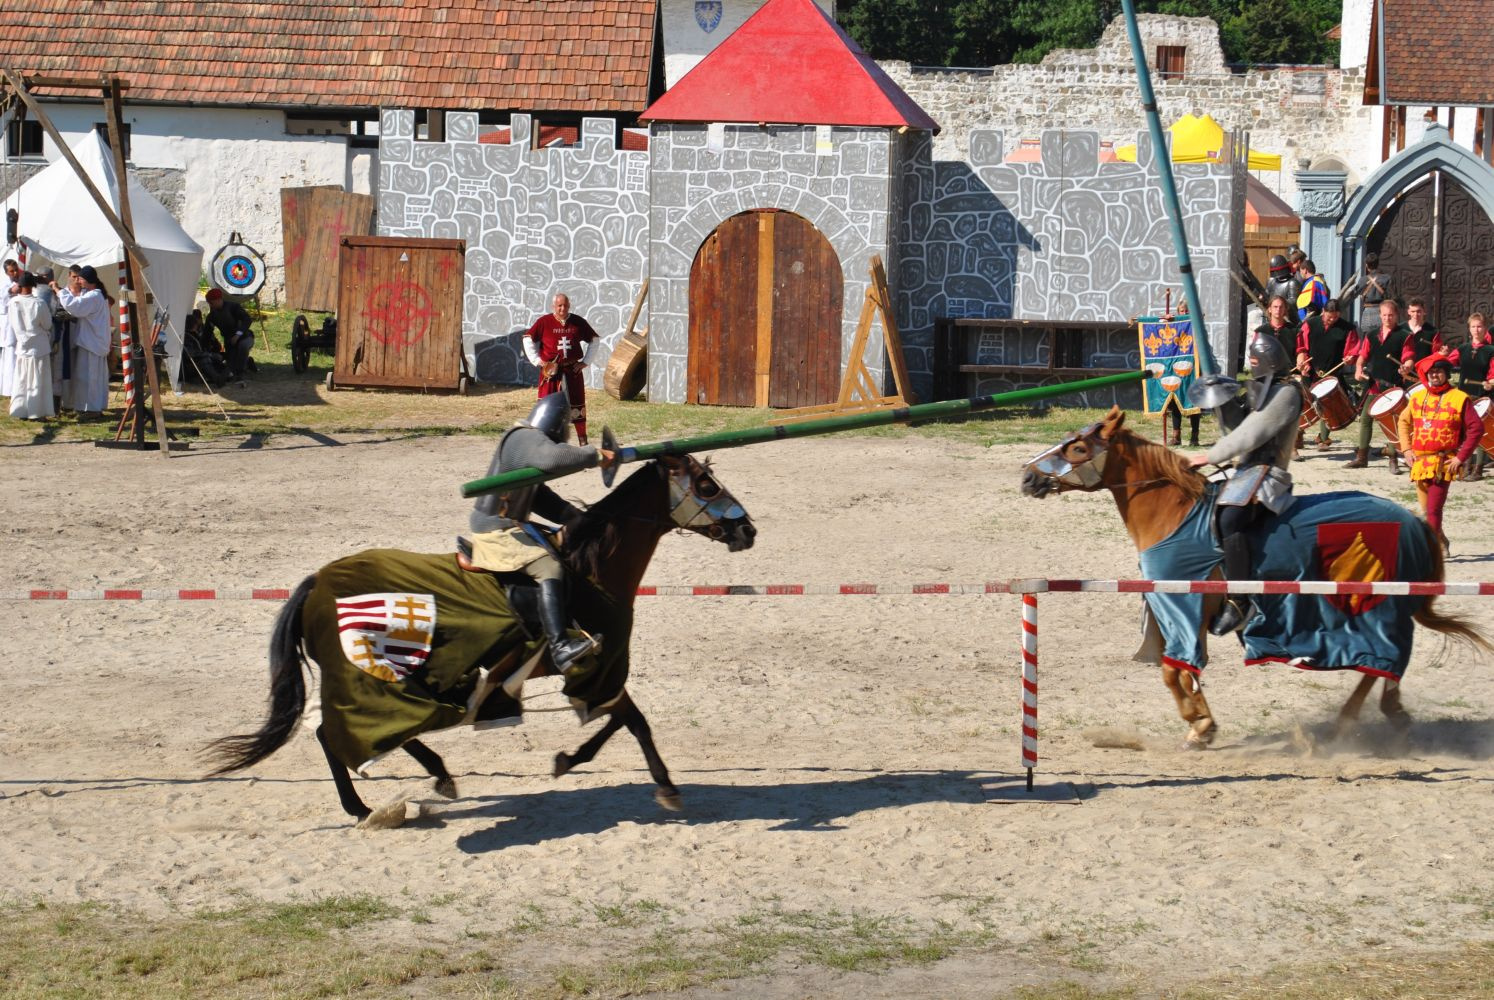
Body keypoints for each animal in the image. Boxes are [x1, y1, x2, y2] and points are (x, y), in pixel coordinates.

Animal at [207, 454, 758, 825]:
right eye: (706, 483)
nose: (747, 530)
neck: (590, 570)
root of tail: (316, 584)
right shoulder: (595, 667)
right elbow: (631, 720)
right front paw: (661, 786)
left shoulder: (594, 673)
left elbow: (624, 721)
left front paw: (574, 762)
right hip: (372, 676)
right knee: (343, 732)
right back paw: (366, 803)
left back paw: (422, 781)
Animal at [1015, 406, 1482, 747]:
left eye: (1077, 449)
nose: (1028, 477)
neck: (1174, 514)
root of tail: (1413, 521)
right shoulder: (1180, 610)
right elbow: (1180, 670)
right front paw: (1201, 722)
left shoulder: (1185, 607)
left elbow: (1172, 669)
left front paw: (1199, 724)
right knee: (1385, 663)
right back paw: (1380, 714)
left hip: (1371, 608)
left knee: (1383, 659)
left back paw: (1359, 719)